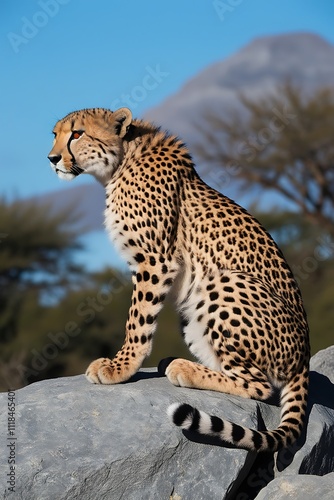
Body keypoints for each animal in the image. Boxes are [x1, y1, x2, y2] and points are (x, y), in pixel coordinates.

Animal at [48, 107, 310, 452]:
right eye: (55, 135)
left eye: (77, 134)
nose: (52, 158)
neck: (122, 161)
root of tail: (304, 358)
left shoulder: (156, 261)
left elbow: (138, 321)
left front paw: (120, 367)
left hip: (221, 282)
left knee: (260, 386)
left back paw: (183, 369)